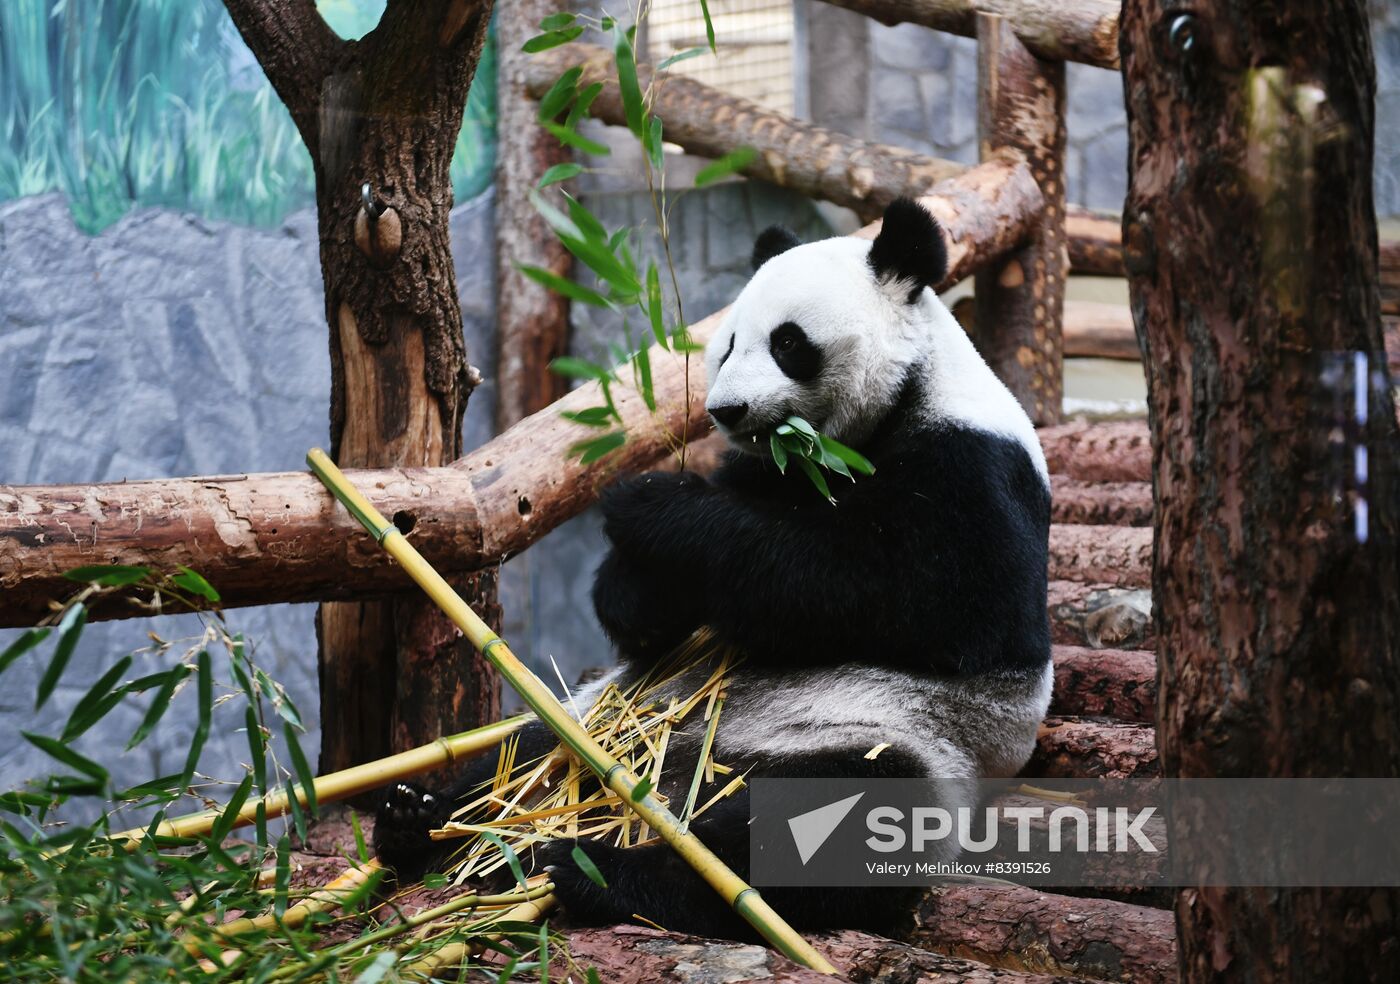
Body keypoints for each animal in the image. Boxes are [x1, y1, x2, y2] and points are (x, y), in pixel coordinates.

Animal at [372, 198, 1052, 940]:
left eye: (788, 343)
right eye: (725, 345)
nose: (725, 409)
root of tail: (668, 782)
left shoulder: (971, 471)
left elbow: (909, 596)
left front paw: (651, 504)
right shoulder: (763, 471)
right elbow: (648, 618)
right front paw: (640, 582)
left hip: (890, 739)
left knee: (822, 824)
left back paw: (602, 873)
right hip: (600, 718)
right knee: (519, 757)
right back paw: (418, 819)